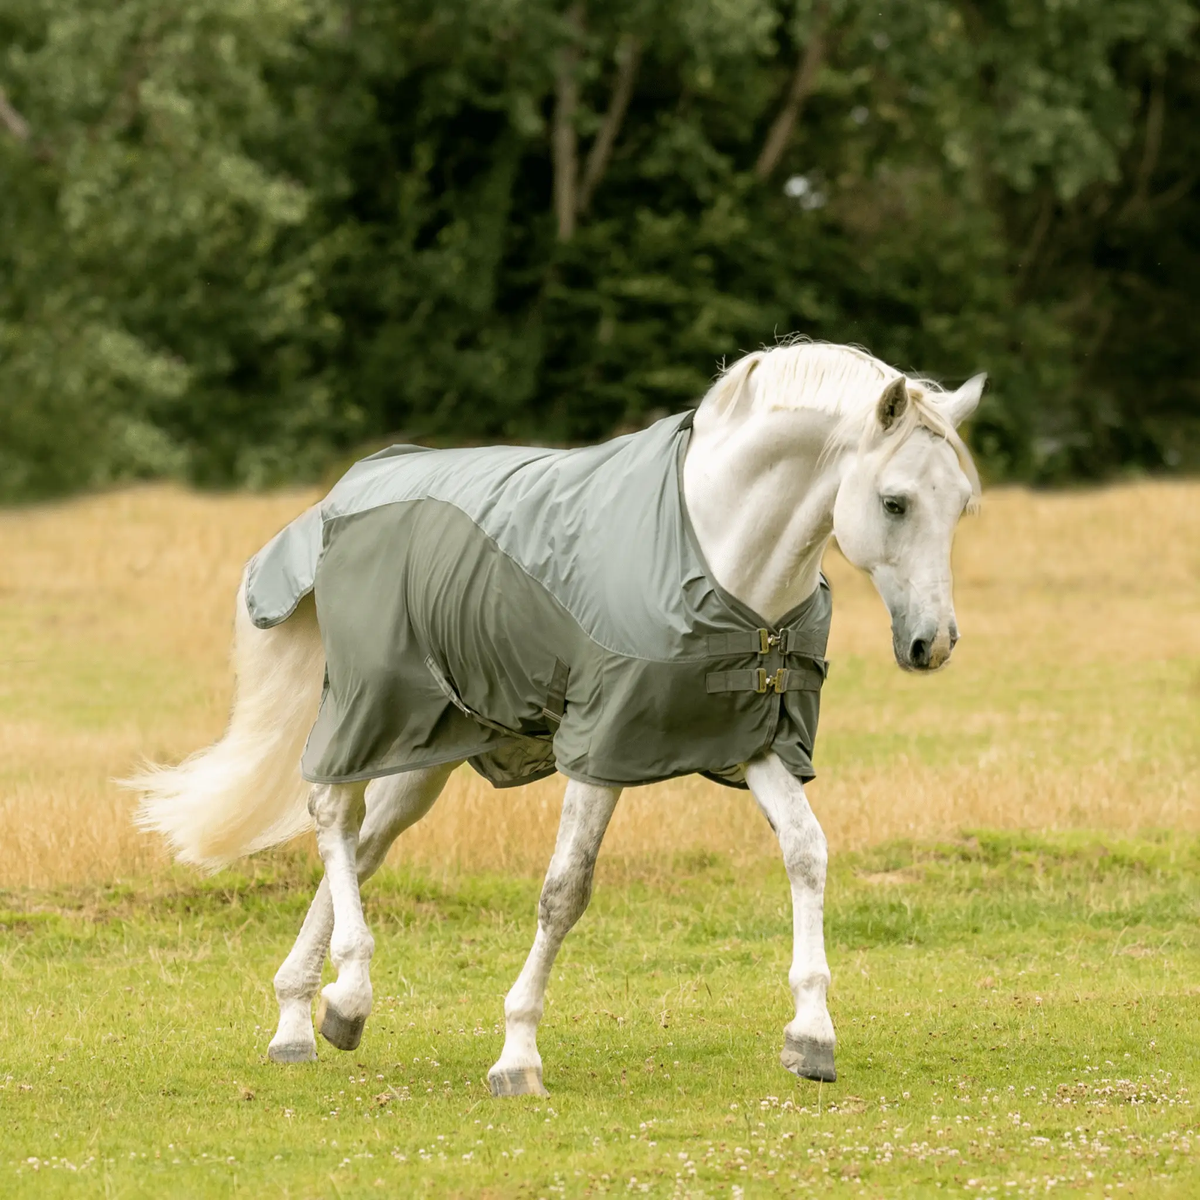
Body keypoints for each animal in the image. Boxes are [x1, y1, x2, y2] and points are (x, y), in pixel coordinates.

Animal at [128, 340, 984, 1096]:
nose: (933, 644)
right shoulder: (602, 746)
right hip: (374, 710)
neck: (721, 555)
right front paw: (517, 1056)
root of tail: (339, 502)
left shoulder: (759, 740)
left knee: (365, 846)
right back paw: (349, 993)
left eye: (962, 507)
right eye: (895, 503)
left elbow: (807, 853)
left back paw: (304, 1020)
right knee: (333, 816)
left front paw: (811, 1034)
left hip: (426, 753)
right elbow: (564, 891)